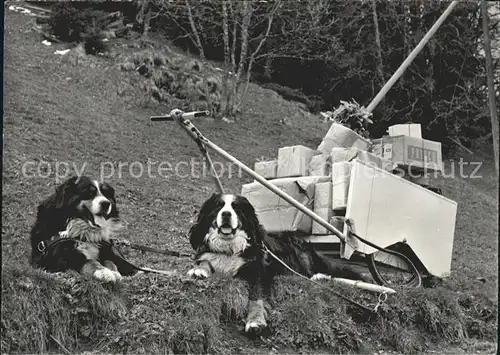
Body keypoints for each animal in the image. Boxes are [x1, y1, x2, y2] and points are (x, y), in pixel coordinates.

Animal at [188, 193, 368, 336]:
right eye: (218, 206)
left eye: (236, 208)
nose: (226, 214)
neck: (229, 248)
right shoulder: (208, 254)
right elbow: (204, 260)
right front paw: (198, 270)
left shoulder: (259, 272)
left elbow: (257, 297)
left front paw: (255, 321)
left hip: (300, 252)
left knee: (313, 271)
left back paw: (319, 276)